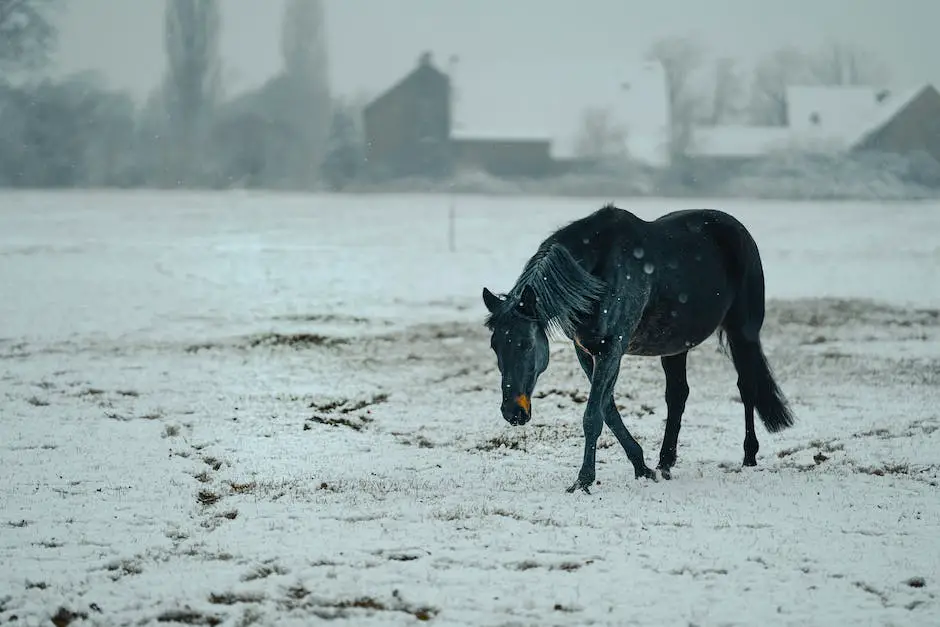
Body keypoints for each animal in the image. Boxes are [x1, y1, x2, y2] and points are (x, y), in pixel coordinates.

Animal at [484, 204, 792, 494]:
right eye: (495, 346)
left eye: (525, 343)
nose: (513, 413)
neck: (596, 275)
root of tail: (739, 231)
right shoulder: (586, 351)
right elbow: (608, 410)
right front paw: (642, 466)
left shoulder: (612, 349)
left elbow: (593, 415)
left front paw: (583, 481)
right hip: (676, 346)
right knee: (678, 395)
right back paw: (665, 462)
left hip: (743, 332)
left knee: (747, 387)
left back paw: (749, 456)